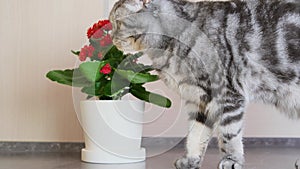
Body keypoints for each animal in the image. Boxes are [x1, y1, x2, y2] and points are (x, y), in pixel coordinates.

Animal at [109, 0, 298, 168]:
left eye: (118, 23)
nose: (111, 37)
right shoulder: (199, 99)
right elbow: (195, 135)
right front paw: (191, 160)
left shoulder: (226, 94)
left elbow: (229, 134)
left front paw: (231, 160)